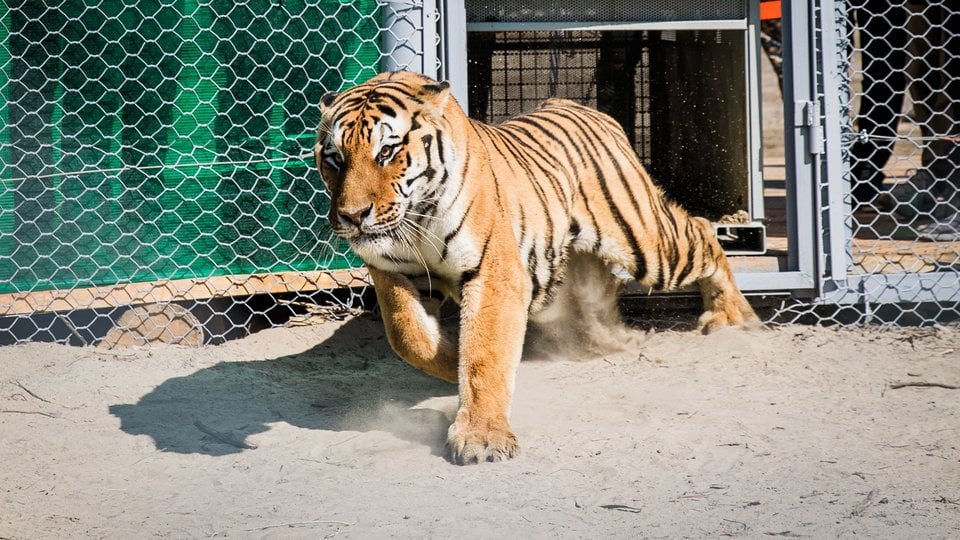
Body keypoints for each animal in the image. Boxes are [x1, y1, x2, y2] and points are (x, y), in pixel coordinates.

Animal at [314, 71, 760, 465]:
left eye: (386, 152)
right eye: (335, 158)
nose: (352, 216)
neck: (416, 218)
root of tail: (575, 104)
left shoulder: (494, 273)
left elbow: (484, 354)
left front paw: (481, 438)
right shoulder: (393, 272)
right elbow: (409, 337)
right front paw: (450, 359)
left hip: (646, 243)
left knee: (702, 230)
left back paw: (733, 316)